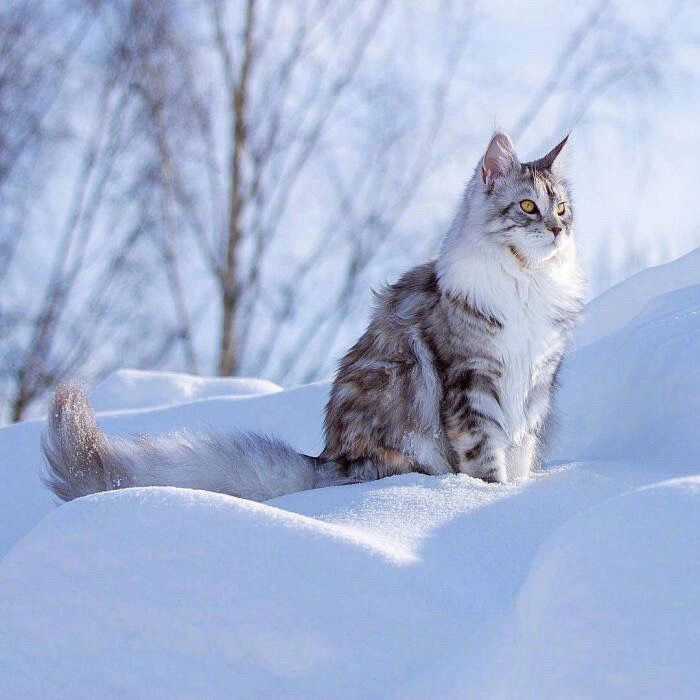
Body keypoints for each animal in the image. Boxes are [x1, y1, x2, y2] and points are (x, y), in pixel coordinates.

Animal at [42, 131, 584, 504]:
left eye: (561, 209)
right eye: (528, 206)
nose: (557, 230)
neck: (528, 285)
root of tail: (329, 460)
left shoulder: (535, 386)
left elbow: (519, 454)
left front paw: (515, 494)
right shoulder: (472, 383)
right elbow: (486, 458)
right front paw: (489, 499)